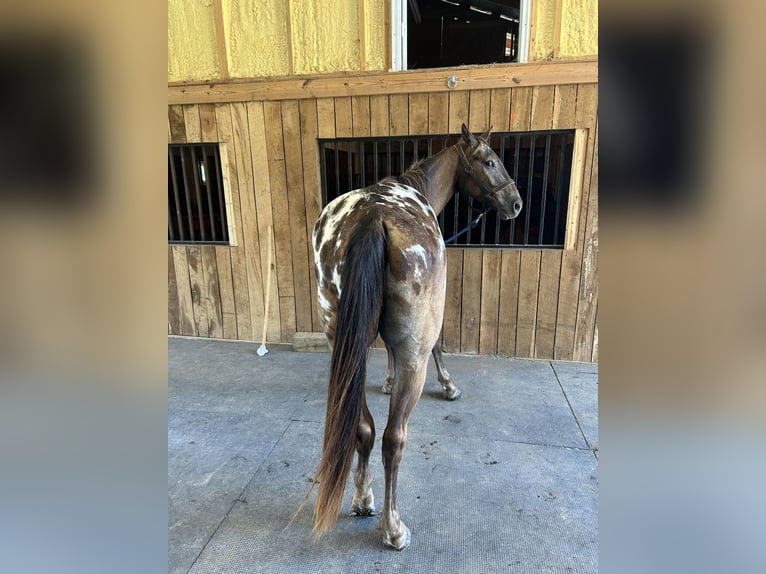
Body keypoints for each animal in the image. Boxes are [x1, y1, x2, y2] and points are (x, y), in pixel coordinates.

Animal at [308, 125, 524, 548]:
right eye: (490, 160)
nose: (516, 203)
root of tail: (372, 217)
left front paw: (388, 382)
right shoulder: (423, 334)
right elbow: (438, 345)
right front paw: (449, 386)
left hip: (341, 347)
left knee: (362, 429)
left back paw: (363, 499)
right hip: (414, 356)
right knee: (393, 439)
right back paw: (393, 527)